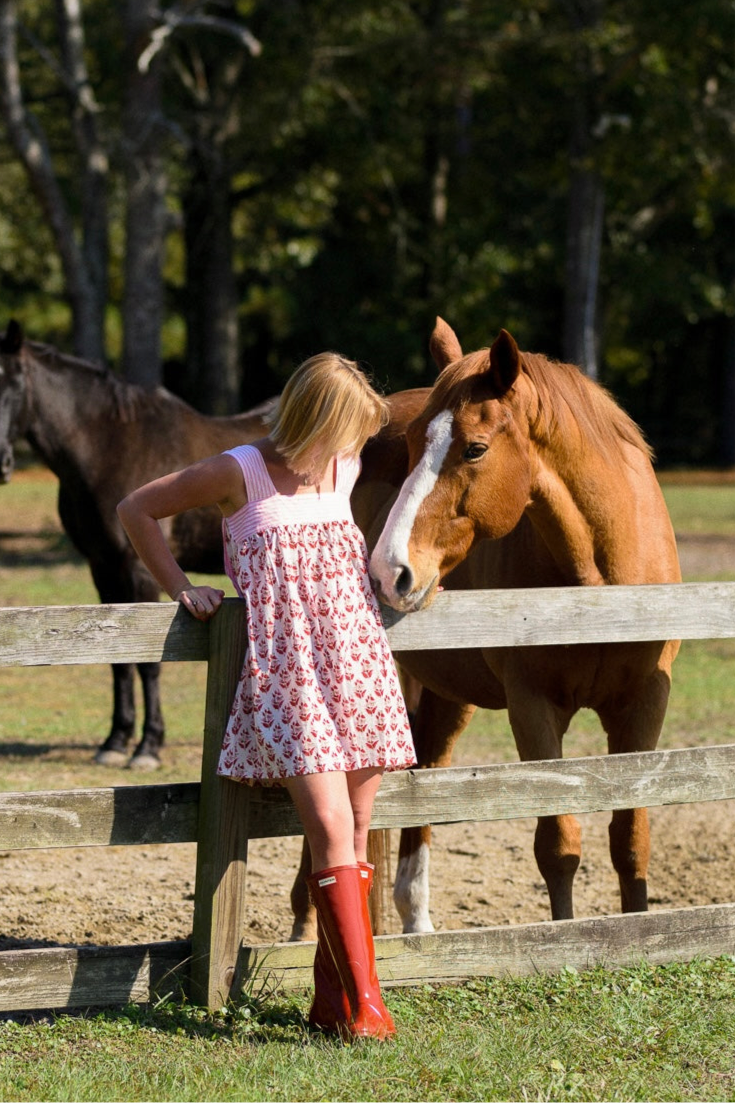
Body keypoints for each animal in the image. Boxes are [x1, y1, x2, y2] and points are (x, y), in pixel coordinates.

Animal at [368, 322, 679, 930]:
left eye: (475, 448)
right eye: (412, 444)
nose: (389, 570)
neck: (599, 584)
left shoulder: (644, 704)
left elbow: (631, 841)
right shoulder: (533, 706)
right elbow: (557, 845)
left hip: (447, 694)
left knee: (426, 774)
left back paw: (415, 921)